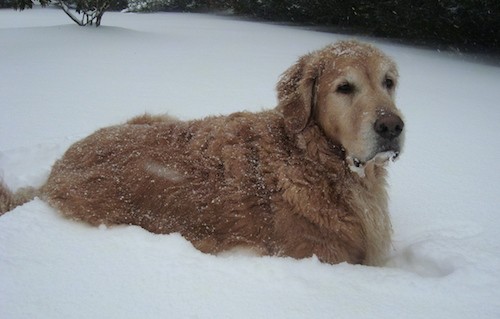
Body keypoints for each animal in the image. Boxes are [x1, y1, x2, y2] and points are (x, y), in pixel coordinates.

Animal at [0, 42, 404, 268]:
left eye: (389, 82)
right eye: (344, 88)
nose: (392, 127)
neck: (313, 159)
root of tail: (53, 173)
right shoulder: (321, 255)